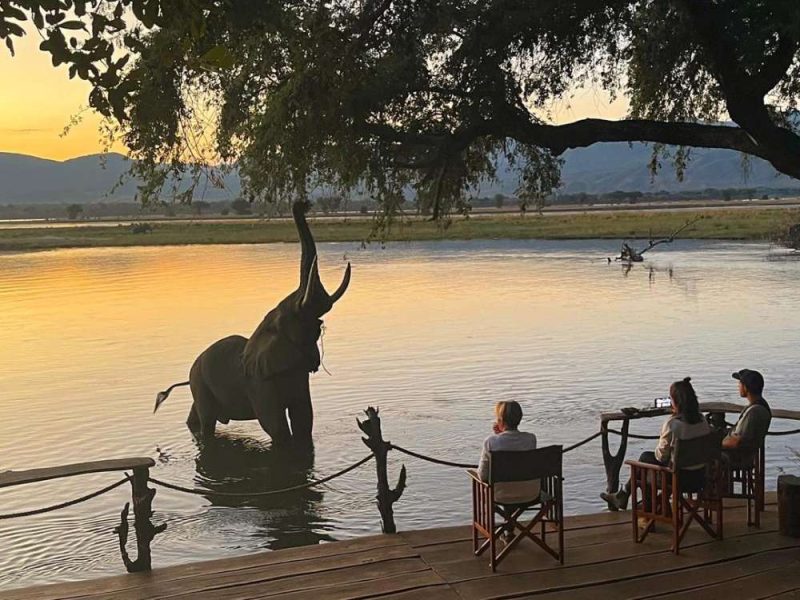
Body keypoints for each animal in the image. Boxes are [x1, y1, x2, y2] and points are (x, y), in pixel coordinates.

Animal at [156, 202, 350, 446]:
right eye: (295, 319)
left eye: (318, 326)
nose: (302, 204)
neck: (266, 326)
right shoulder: (257, 381)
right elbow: (275, 425)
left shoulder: (297, 373)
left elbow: (304, 419)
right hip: (200, 383)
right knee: (207, 421)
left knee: (196, 419)